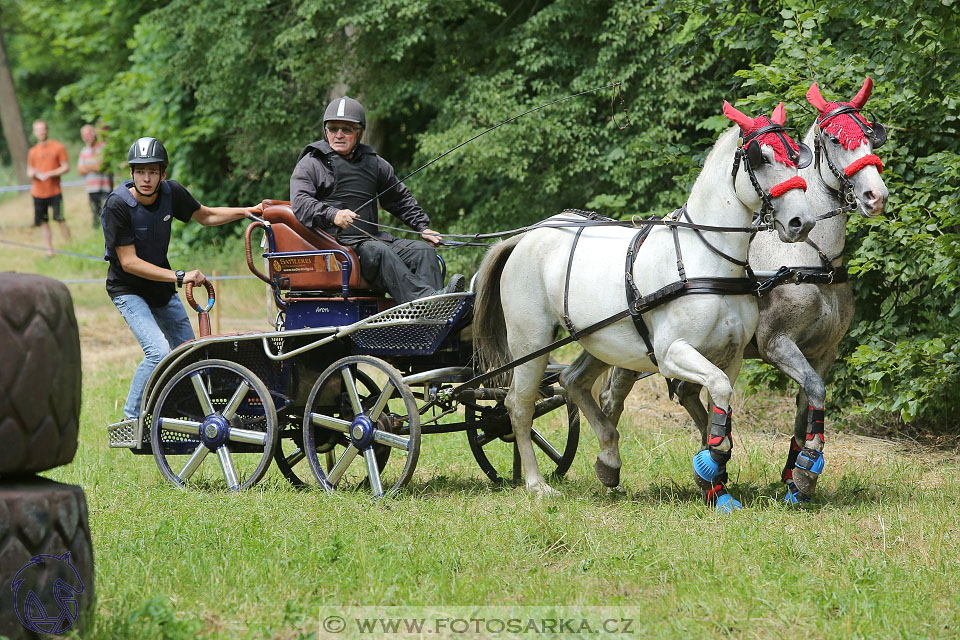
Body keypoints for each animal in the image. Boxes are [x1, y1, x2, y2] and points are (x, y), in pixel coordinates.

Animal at [472, 101, 816, 510]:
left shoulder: (730, 358)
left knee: (572, 381)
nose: (801, 221)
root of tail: (527, 236)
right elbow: (716, 397)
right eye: (760, 158)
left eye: (795, 156)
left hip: (601, 339)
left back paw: (608, 460)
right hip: (531, 343)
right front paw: (714, 461)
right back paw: (536, 483)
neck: (705, 261)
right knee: (519, 405)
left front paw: (716, 483)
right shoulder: (672, 353)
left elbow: (720, 409)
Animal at [604, 76, 888, 504]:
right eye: (837, 139)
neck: (811, 259)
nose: (876, 196)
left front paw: (796, 476)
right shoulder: (777, 344)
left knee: (687, 393)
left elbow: (808, 402)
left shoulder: (823, 351)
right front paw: (805, 469)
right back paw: (612, 463)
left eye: (871, 135)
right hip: (638, 348)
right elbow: (814, 390)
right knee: (614, 395)